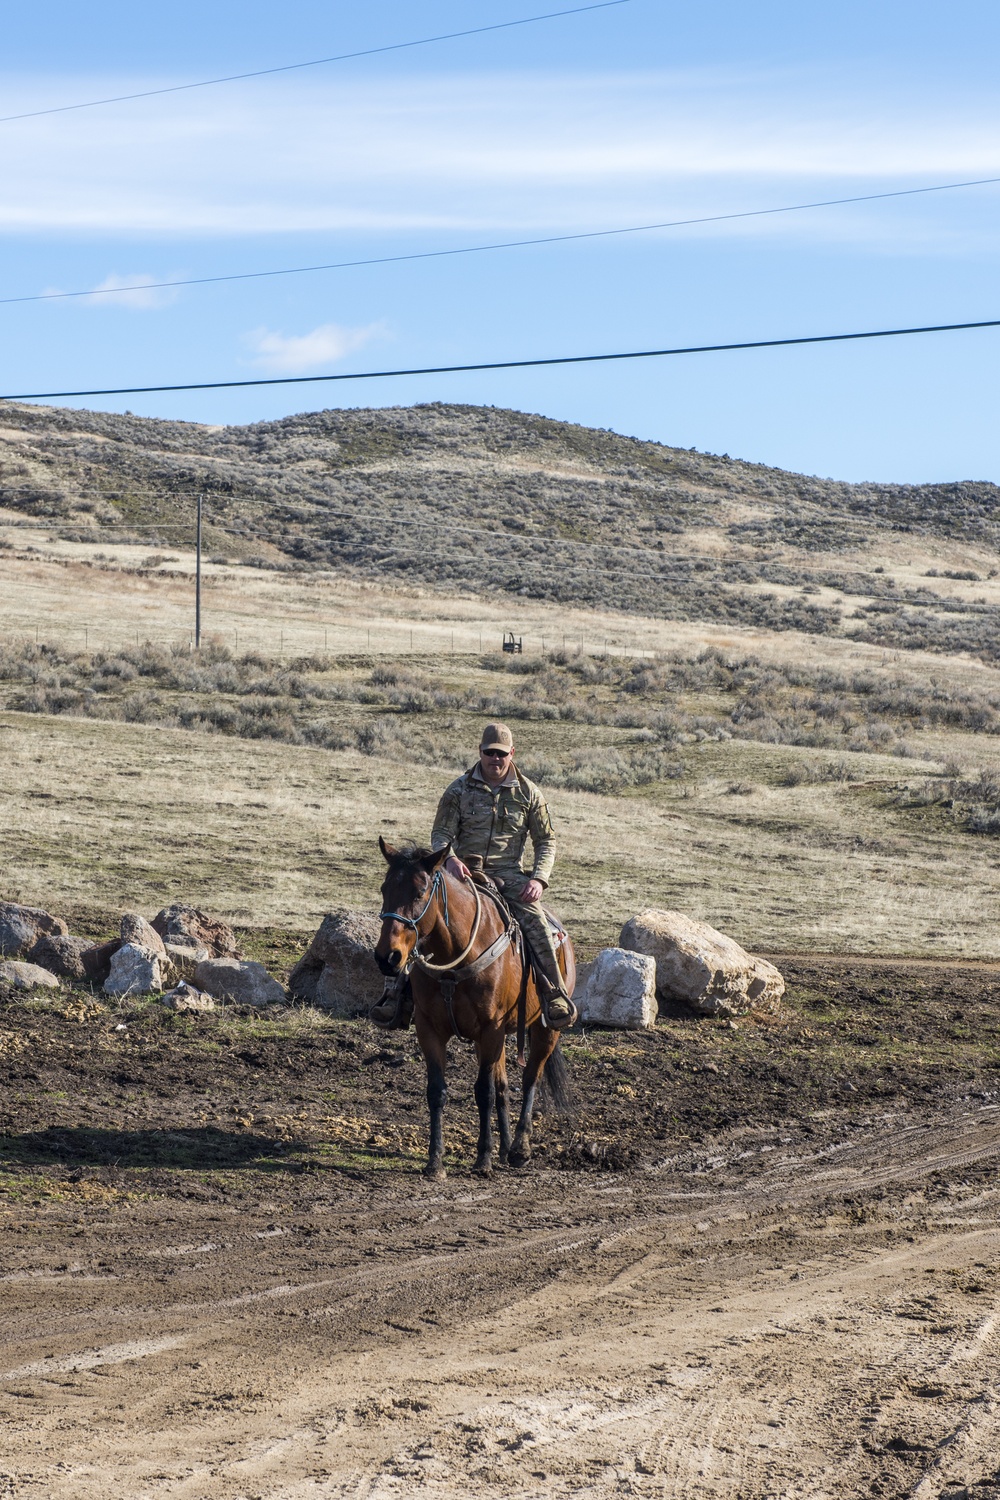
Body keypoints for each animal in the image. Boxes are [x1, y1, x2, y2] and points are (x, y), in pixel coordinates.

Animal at [374, 840, 575, 1176]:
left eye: (419, 892)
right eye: (384, 889)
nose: (387, 958)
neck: (454, 958)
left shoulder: (490, 1029)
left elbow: (484, 1092)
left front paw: (483, 1160)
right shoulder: (430, 1030)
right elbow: (437, 1091)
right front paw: (435, 1161)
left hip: (544, 1030)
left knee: (530, 1077)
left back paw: (519, 1149)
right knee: (504, 1086)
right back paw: (505, 1148)